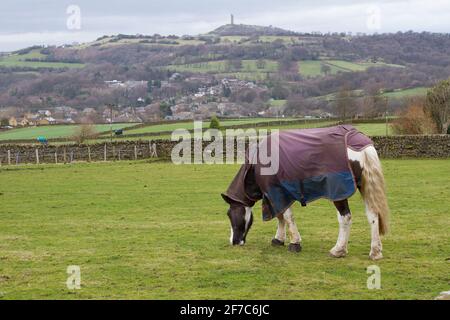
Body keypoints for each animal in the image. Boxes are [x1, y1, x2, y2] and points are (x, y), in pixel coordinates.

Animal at [222, 125, 390, 260]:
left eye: (230, 214)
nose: (234, 242)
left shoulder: (278, 193)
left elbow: (287, 217)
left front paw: (294, 242)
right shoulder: (275, 196)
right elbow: (280, 217)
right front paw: (279, 239)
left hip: (339, 192)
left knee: (345, 217)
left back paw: (338, 250)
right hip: (365, 187)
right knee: (373, 215)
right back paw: (375, 251)